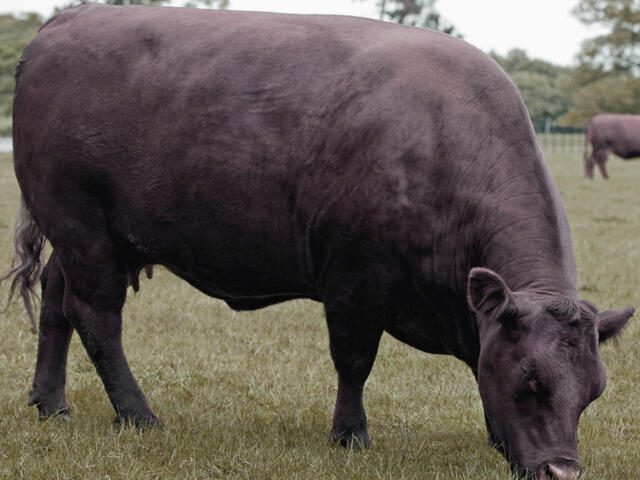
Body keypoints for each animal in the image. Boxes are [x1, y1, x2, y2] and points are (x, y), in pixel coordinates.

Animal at [2, 4, 634, 479]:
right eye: (531, 379)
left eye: (594, 392)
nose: (561, 470)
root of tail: (64, 23)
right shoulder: (356, 276)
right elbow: (354, 359)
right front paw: (350, 436)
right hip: (84, 229)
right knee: (97, 318)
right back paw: (138, 416)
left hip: (86, 237)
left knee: (56, 302)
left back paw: (50, 402)